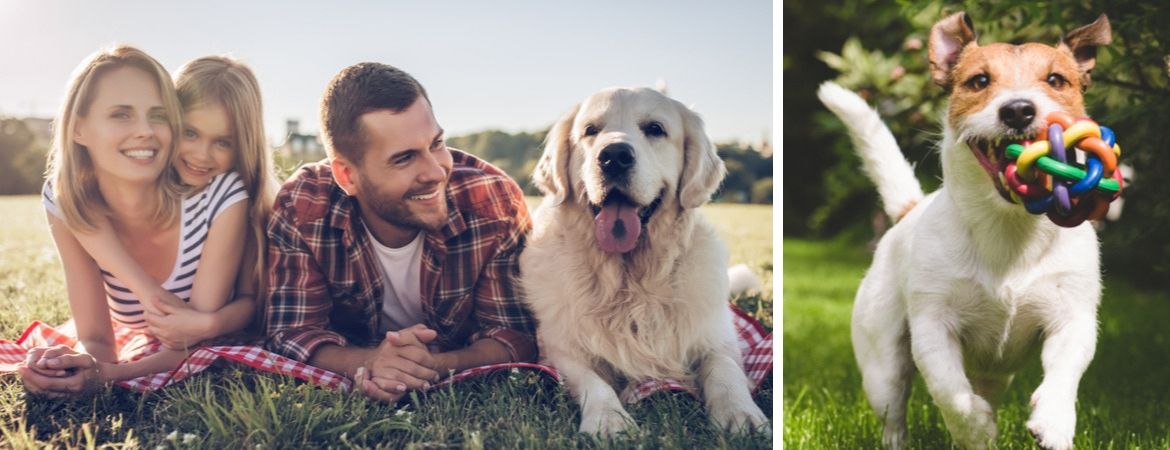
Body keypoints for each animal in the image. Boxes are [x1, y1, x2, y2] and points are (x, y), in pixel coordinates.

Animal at [521, 85, 767, 432]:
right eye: (590, 130)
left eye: (655, 129)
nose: (614, 156)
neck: (630, 281)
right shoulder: (560, 349)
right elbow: (593, 380)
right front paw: (608, 419)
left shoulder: (719, 338)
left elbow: (725, 369)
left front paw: (740, 413)